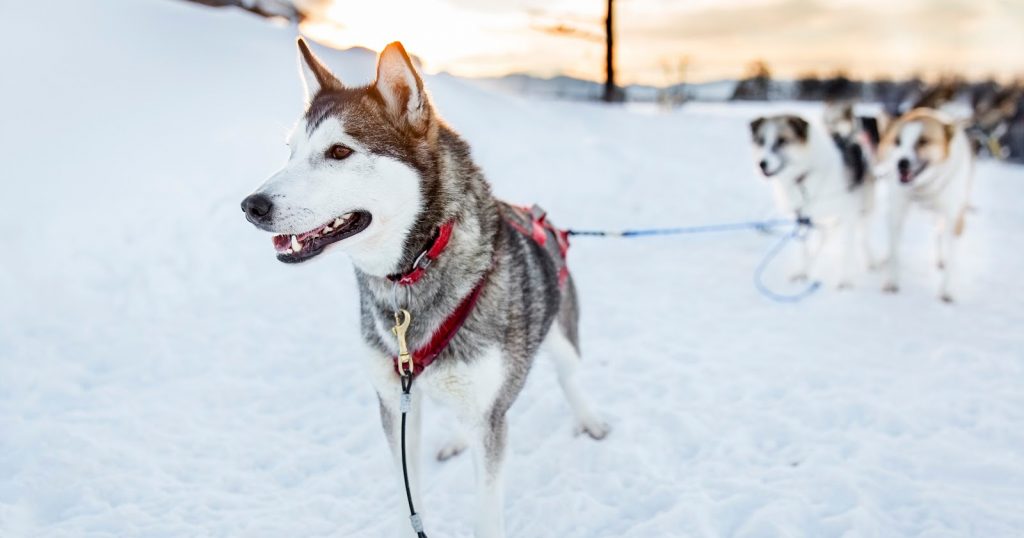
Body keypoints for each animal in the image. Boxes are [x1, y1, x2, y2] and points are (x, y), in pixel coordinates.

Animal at [876, 108, 970, 301]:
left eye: (923, 141)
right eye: (897, 141)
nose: (901, 163)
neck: (924, 188)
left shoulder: (955, 218)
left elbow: (952, 257)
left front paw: (946, 291)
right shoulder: (896, 211)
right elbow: (894, 250)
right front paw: (892, 281)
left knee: (938, 234)